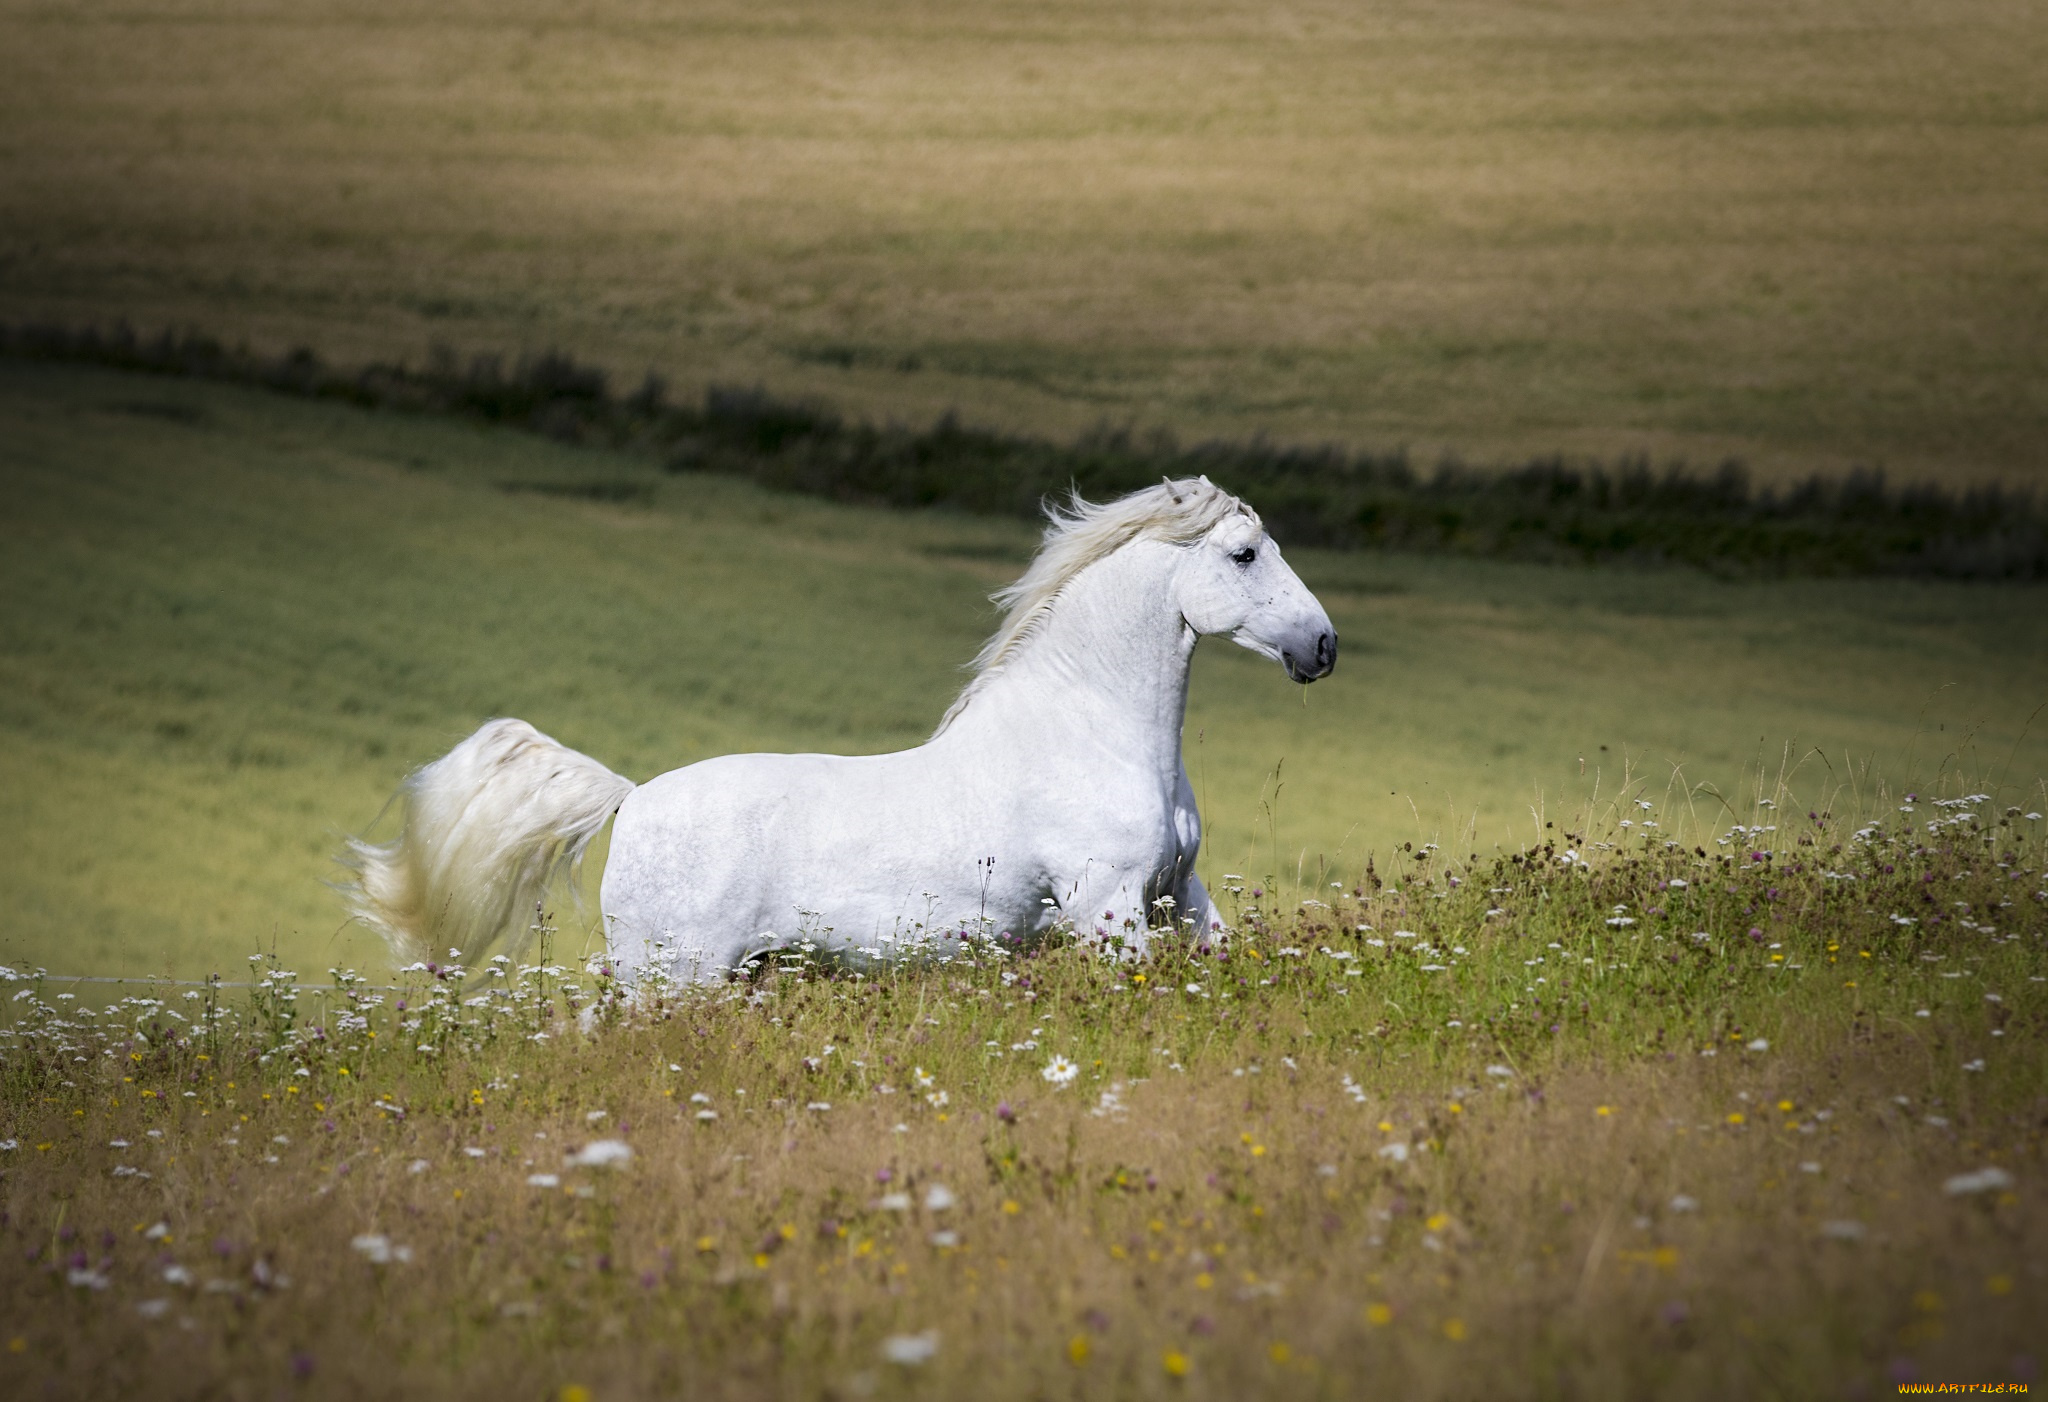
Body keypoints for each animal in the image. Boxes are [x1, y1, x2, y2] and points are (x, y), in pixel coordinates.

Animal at [344, 480, 1335, 982]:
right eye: (1245, 553)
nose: (1322, 647)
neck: (1088, 734)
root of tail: (629, 801)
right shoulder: (1108, 907)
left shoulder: (1182, 894)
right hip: (675, 977)